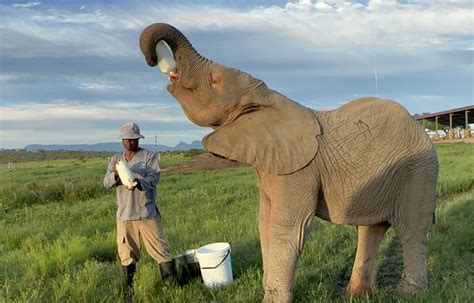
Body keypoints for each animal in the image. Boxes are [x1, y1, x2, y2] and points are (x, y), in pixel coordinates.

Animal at [140, 22, 436, 302]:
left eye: (215, 80)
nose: (152, 59)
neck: (269, 98)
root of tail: (420, 128)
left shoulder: (299, 172)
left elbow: (288, 228)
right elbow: (264, 224)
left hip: (419, 170)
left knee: (411, 229)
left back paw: (407, 294)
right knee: (371, 229)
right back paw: (356, 295)